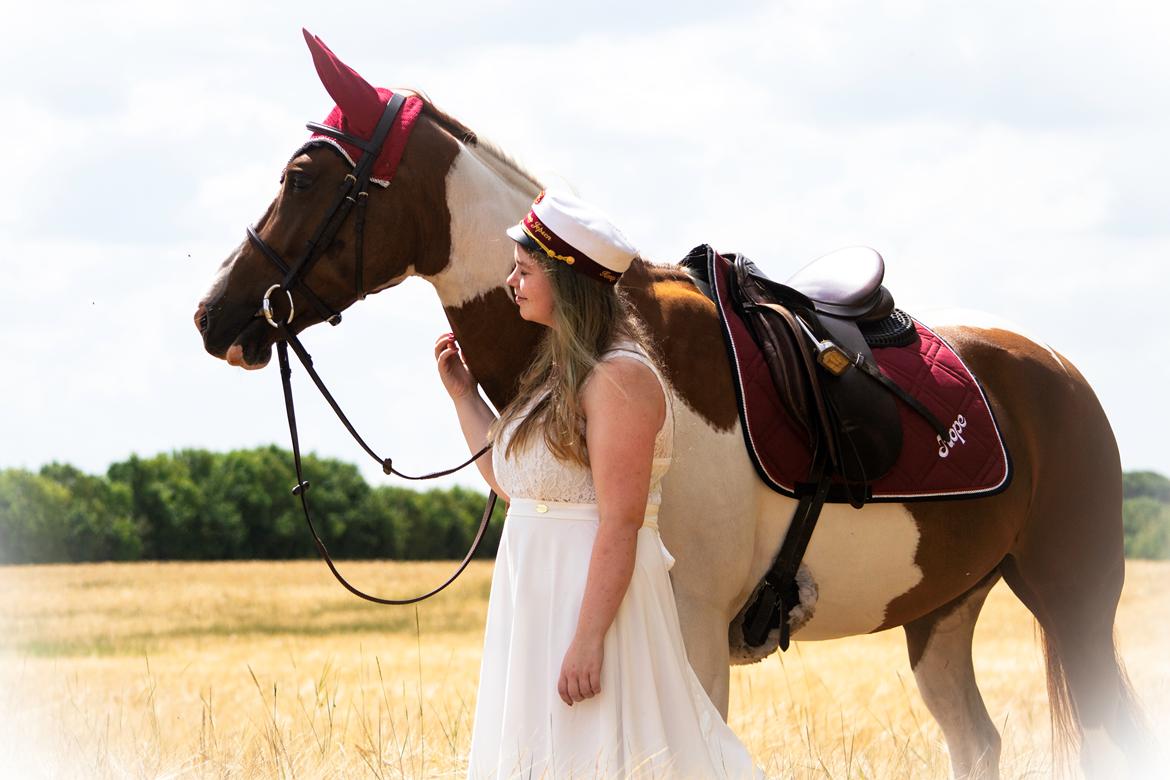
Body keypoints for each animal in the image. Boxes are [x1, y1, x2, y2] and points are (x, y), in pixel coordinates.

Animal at [196, 32, 1146, 780]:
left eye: (304, 176)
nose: (215, 317)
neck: (620, 336)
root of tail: (1059, 372)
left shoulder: (692, 629)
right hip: (942, 613)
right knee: (976, 743)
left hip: (1076, 601)